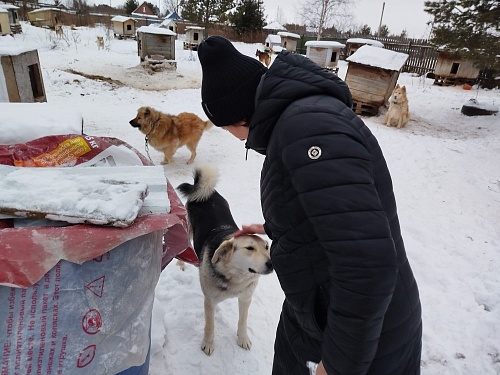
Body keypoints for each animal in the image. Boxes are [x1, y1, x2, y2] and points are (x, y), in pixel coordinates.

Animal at [178, 166, 274, 356]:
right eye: (249, 248)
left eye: (266, 247)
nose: (271, 264)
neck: (235, 276)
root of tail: (207, 192)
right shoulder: (210, 301)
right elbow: (210, 326)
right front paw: (208, 344)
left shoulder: (246, 298)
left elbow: (243, 321)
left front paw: (242, 339)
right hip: (188, 228)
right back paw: (181, 263)